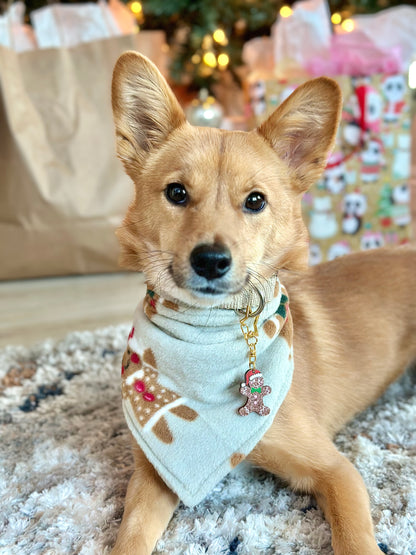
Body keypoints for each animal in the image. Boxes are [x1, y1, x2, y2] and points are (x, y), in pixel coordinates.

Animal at [110, 50, 416, 552]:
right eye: (176, 193)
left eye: (255, 201)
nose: (211, 261)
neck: (209, 337)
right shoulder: (152, 478)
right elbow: (130, 537)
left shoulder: (337, 471)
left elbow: (354, 538)